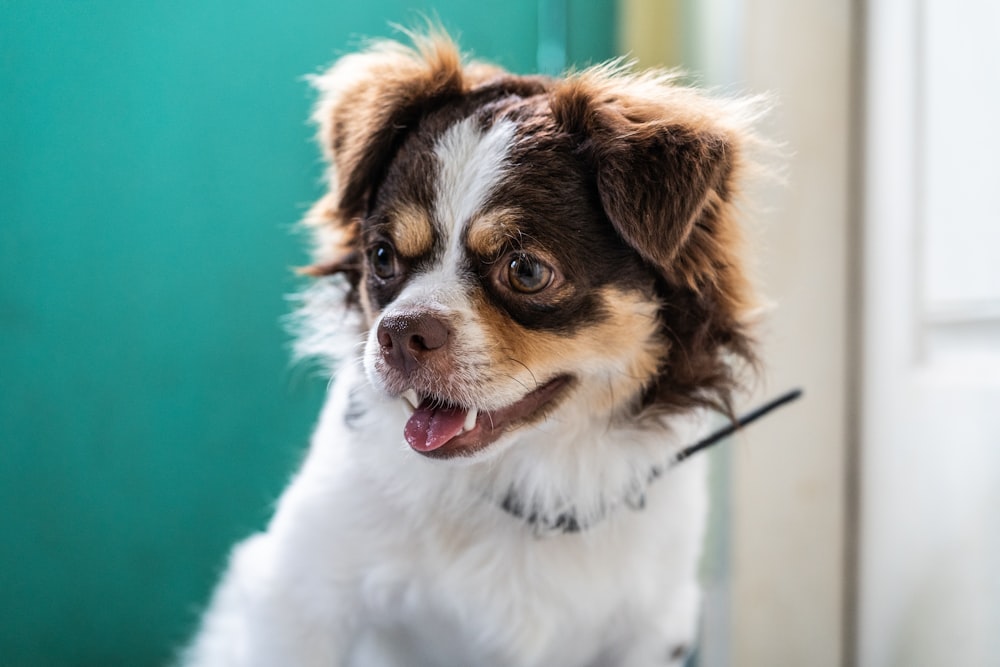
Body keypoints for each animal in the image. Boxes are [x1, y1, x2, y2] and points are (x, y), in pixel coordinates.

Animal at [182, 31, 756, 667]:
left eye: (526, 270)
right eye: (382, 257)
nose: (400, 331)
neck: (514, 476)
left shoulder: (653, 628)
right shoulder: (296, 597)